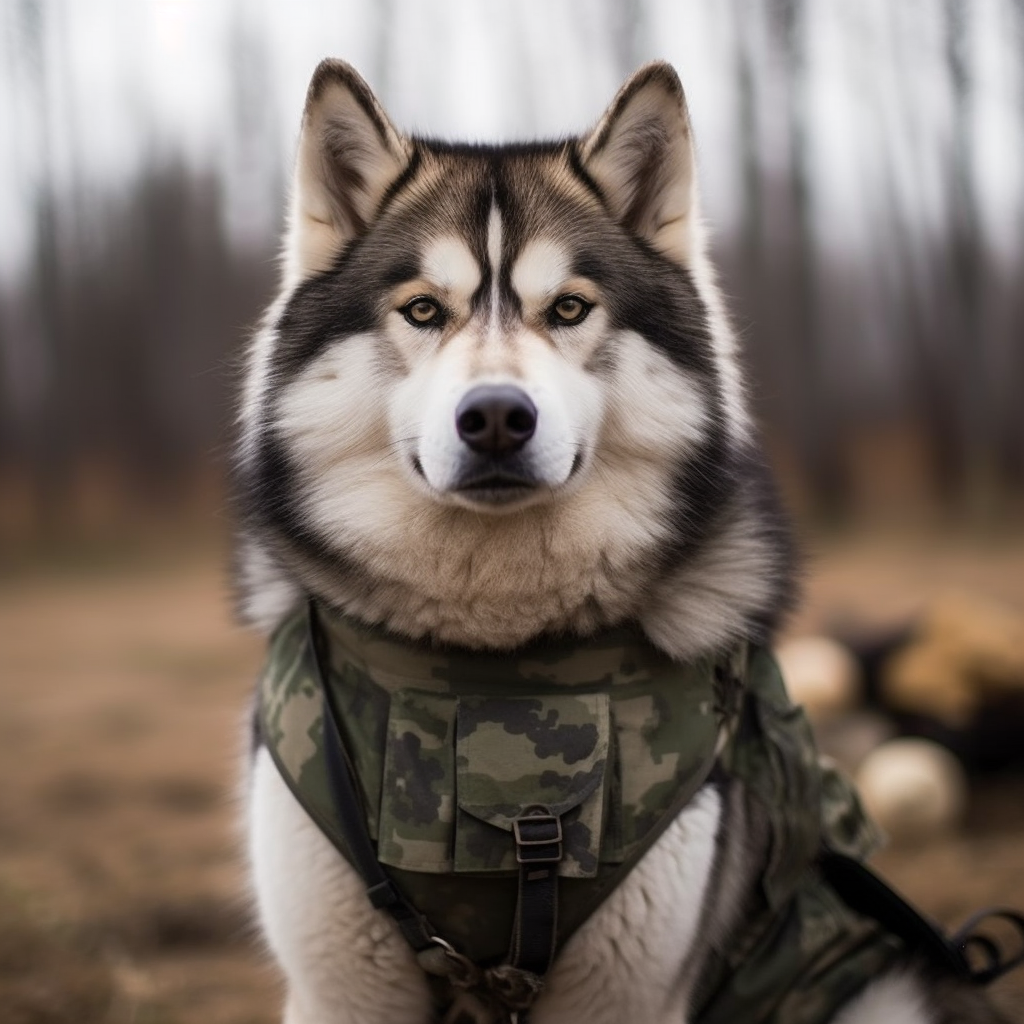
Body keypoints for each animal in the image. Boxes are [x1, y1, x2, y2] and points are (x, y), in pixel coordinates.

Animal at [232, 61, 1007, 1024]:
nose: (496, 416)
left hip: (877, 991)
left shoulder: (629, 988)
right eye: (422, 310)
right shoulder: (340, 989)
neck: (494, 653)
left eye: (568, 308)